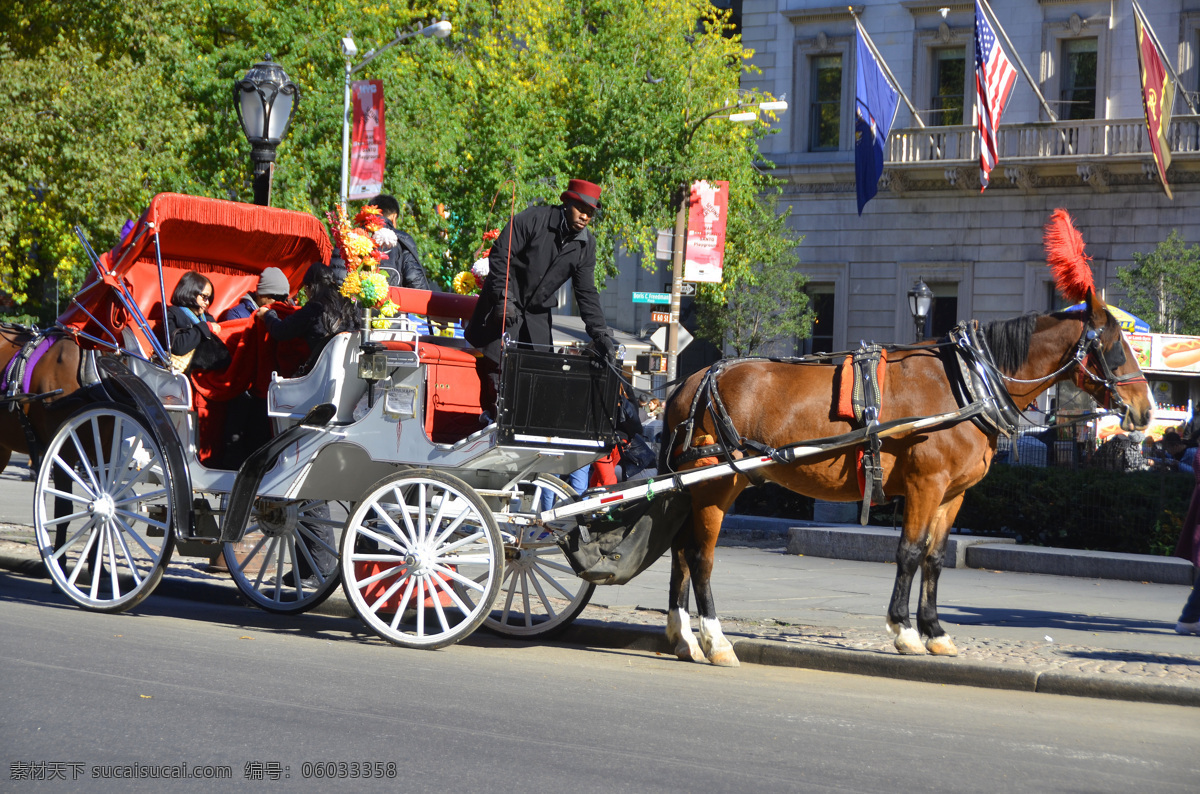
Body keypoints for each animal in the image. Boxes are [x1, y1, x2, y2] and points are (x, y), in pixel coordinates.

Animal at [662, 289, 1156, 666]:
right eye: (1116, 348)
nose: (1146, 410)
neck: (967, 384)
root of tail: (693, 380)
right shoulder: (926, 484)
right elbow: (910, 552)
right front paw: (904, 631)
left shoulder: (953, 494)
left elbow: (935, 558)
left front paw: (935, 631)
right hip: (717, 484)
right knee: (700, 556)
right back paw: (715, 639)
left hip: (695, 487)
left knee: (681, 551)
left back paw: (682, 634)